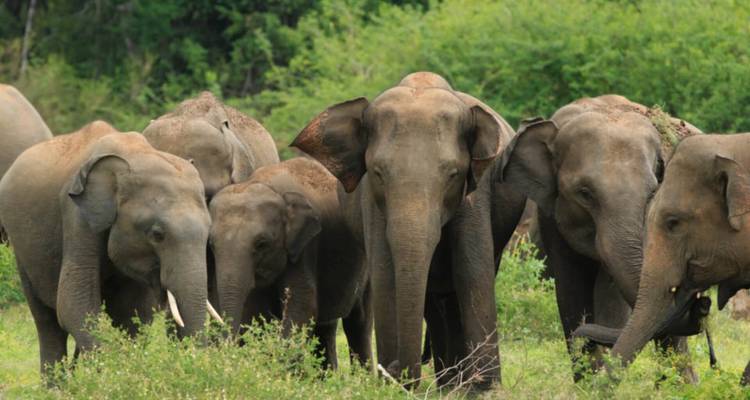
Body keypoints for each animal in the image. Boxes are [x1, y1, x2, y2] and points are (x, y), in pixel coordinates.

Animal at [0, 121, 218, 380]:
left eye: (208, 233)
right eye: (157, 235)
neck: (133, 155)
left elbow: (134, 313)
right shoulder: (76, 215)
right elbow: (75, 303)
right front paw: (107, 377)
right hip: (22, 252)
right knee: (47, 322)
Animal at [209, 157, 371, 369]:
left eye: (262, 244)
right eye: (211, 245)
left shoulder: (305, 246)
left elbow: (301, 306)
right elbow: (254, 311)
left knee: (359, 322)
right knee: (326, 327)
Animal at [291, 72, 526, 388]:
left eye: (453, 174)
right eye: (378, 173)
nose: (394, 371)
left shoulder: (476, 194)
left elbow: (472, 272)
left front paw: (485, 389)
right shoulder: (372, 203)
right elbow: (385, 276)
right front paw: (394, 386)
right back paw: (448, 385)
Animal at [499, 95, 702, 380]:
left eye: (653, 191)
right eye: (584, 193)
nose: (702, 304)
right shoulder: (550, 214)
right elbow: (571, 288)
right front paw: (586, 378)